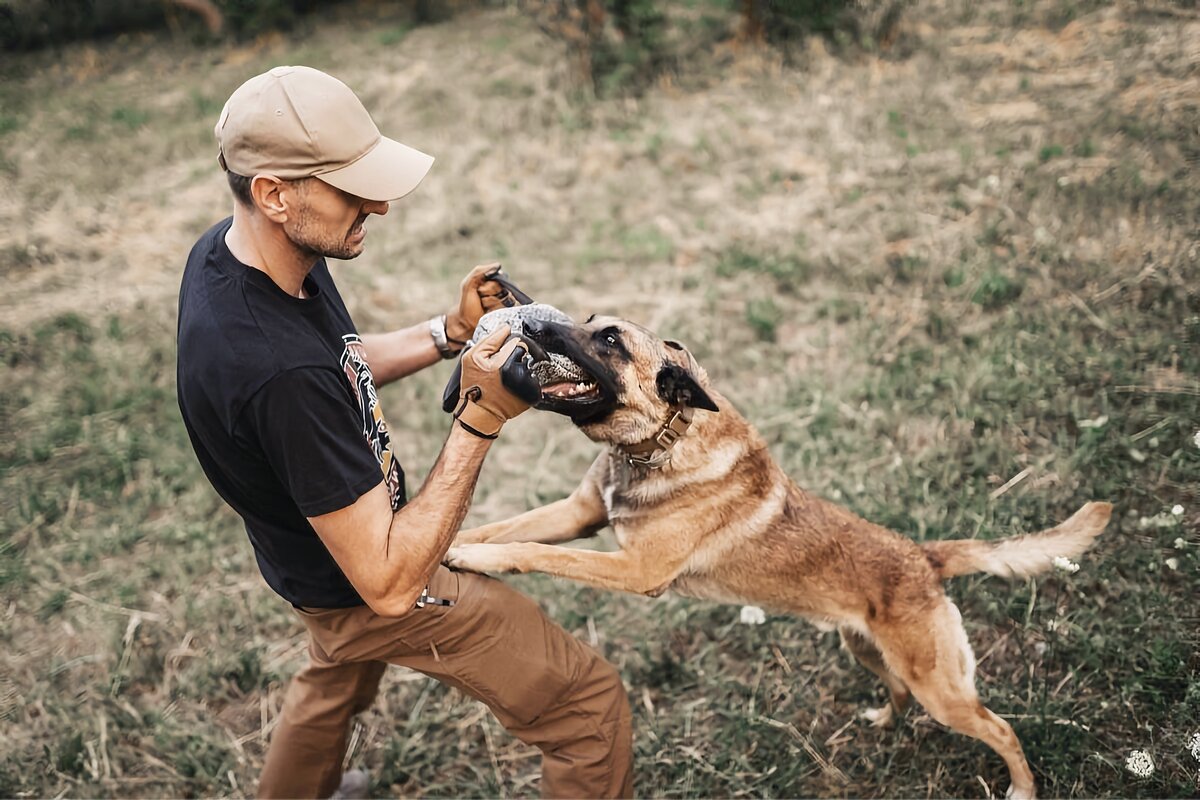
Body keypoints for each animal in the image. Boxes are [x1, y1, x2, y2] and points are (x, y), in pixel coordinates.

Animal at [446, 316, 1108, 796]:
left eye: (608, 340)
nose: (533, 323)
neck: (660, 443)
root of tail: (923, 558)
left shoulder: (635, 572)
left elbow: (530, 549)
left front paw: (476, 557)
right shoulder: (577, 514)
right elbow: (507, 527)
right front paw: (451, 544)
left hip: (943, 690)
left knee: (1001, 728)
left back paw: (1022, 787)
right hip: (866, 648)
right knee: (897, 690)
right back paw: (884, 721)